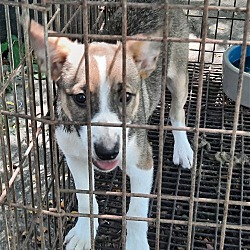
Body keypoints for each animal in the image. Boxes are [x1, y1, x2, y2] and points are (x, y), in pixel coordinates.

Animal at [28, 0, 193, 249]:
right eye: (81, 98)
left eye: (126, 96)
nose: (108, 152)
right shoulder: (75, 158)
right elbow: (85, 196)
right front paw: (84, 232)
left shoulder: (143, 165)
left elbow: (136, 212)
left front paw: (136, 243)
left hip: (179, 77)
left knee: (177, 112)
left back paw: (183, 148)